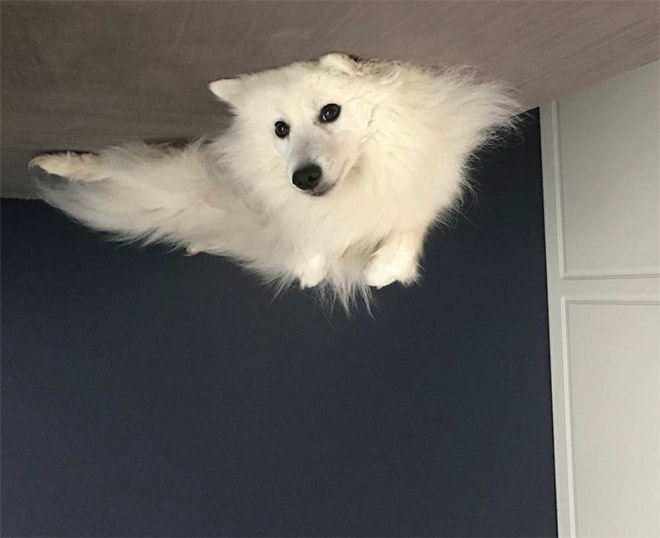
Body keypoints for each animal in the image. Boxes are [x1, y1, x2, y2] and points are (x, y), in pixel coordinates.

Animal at [31, 54, 520, 308]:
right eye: (280, 129)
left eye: (330, 111)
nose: (303, 178)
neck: (360, 181)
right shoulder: (308, 218)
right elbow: (314, 244)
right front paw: (312, 269)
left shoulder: (423, 191)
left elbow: (404, 234)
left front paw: (381, 268)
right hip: (158, 175)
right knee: (108, 166)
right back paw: (56, 163)